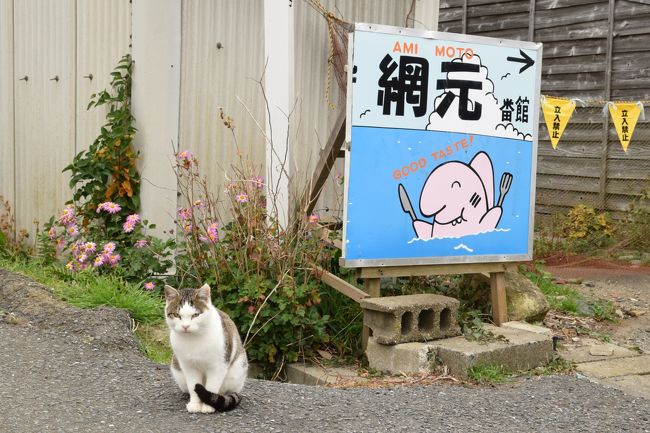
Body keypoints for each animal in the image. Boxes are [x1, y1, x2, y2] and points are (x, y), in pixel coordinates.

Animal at [163, 284, 247, 412]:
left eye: (195, 315)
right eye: (177, 315)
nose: (185, 326)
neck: (193, 339)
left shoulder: (218, 366)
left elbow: (212, 386)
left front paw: (208, 406)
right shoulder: (188, 366)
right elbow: (193, 385)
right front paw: (195, 404)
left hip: (237, 371)